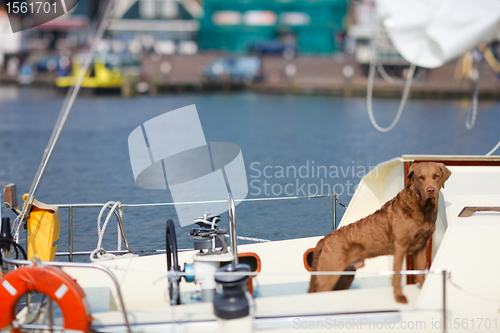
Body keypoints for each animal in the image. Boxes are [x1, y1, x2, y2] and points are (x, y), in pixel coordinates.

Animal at [310, 161, 452, 304]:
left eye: (436, 176)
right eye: (420, 178)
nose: (430, 190)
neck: (422, 208)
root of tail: (324, 239)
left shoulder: (421, 247)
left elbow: (421, 273)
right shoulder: (400, 246)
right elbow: (397, 274)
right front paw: (399, 297)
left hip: (344, 277)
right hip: (328, 274)